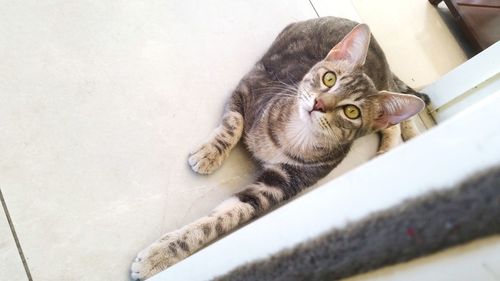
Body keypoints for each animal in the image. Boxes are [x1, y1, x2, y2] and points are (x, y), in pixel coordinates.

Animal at [132, 17, 426, 278]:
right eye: (329, 79)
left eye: (351, 111)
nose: (318, 104)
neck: (293, 135)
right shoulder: (249, 86)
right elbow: (233, 123)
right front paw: (210, 154)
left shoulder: (279, 184)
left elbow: (221, 219)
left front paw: (162, 254)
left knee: (393, 122)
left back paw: (395, 145)